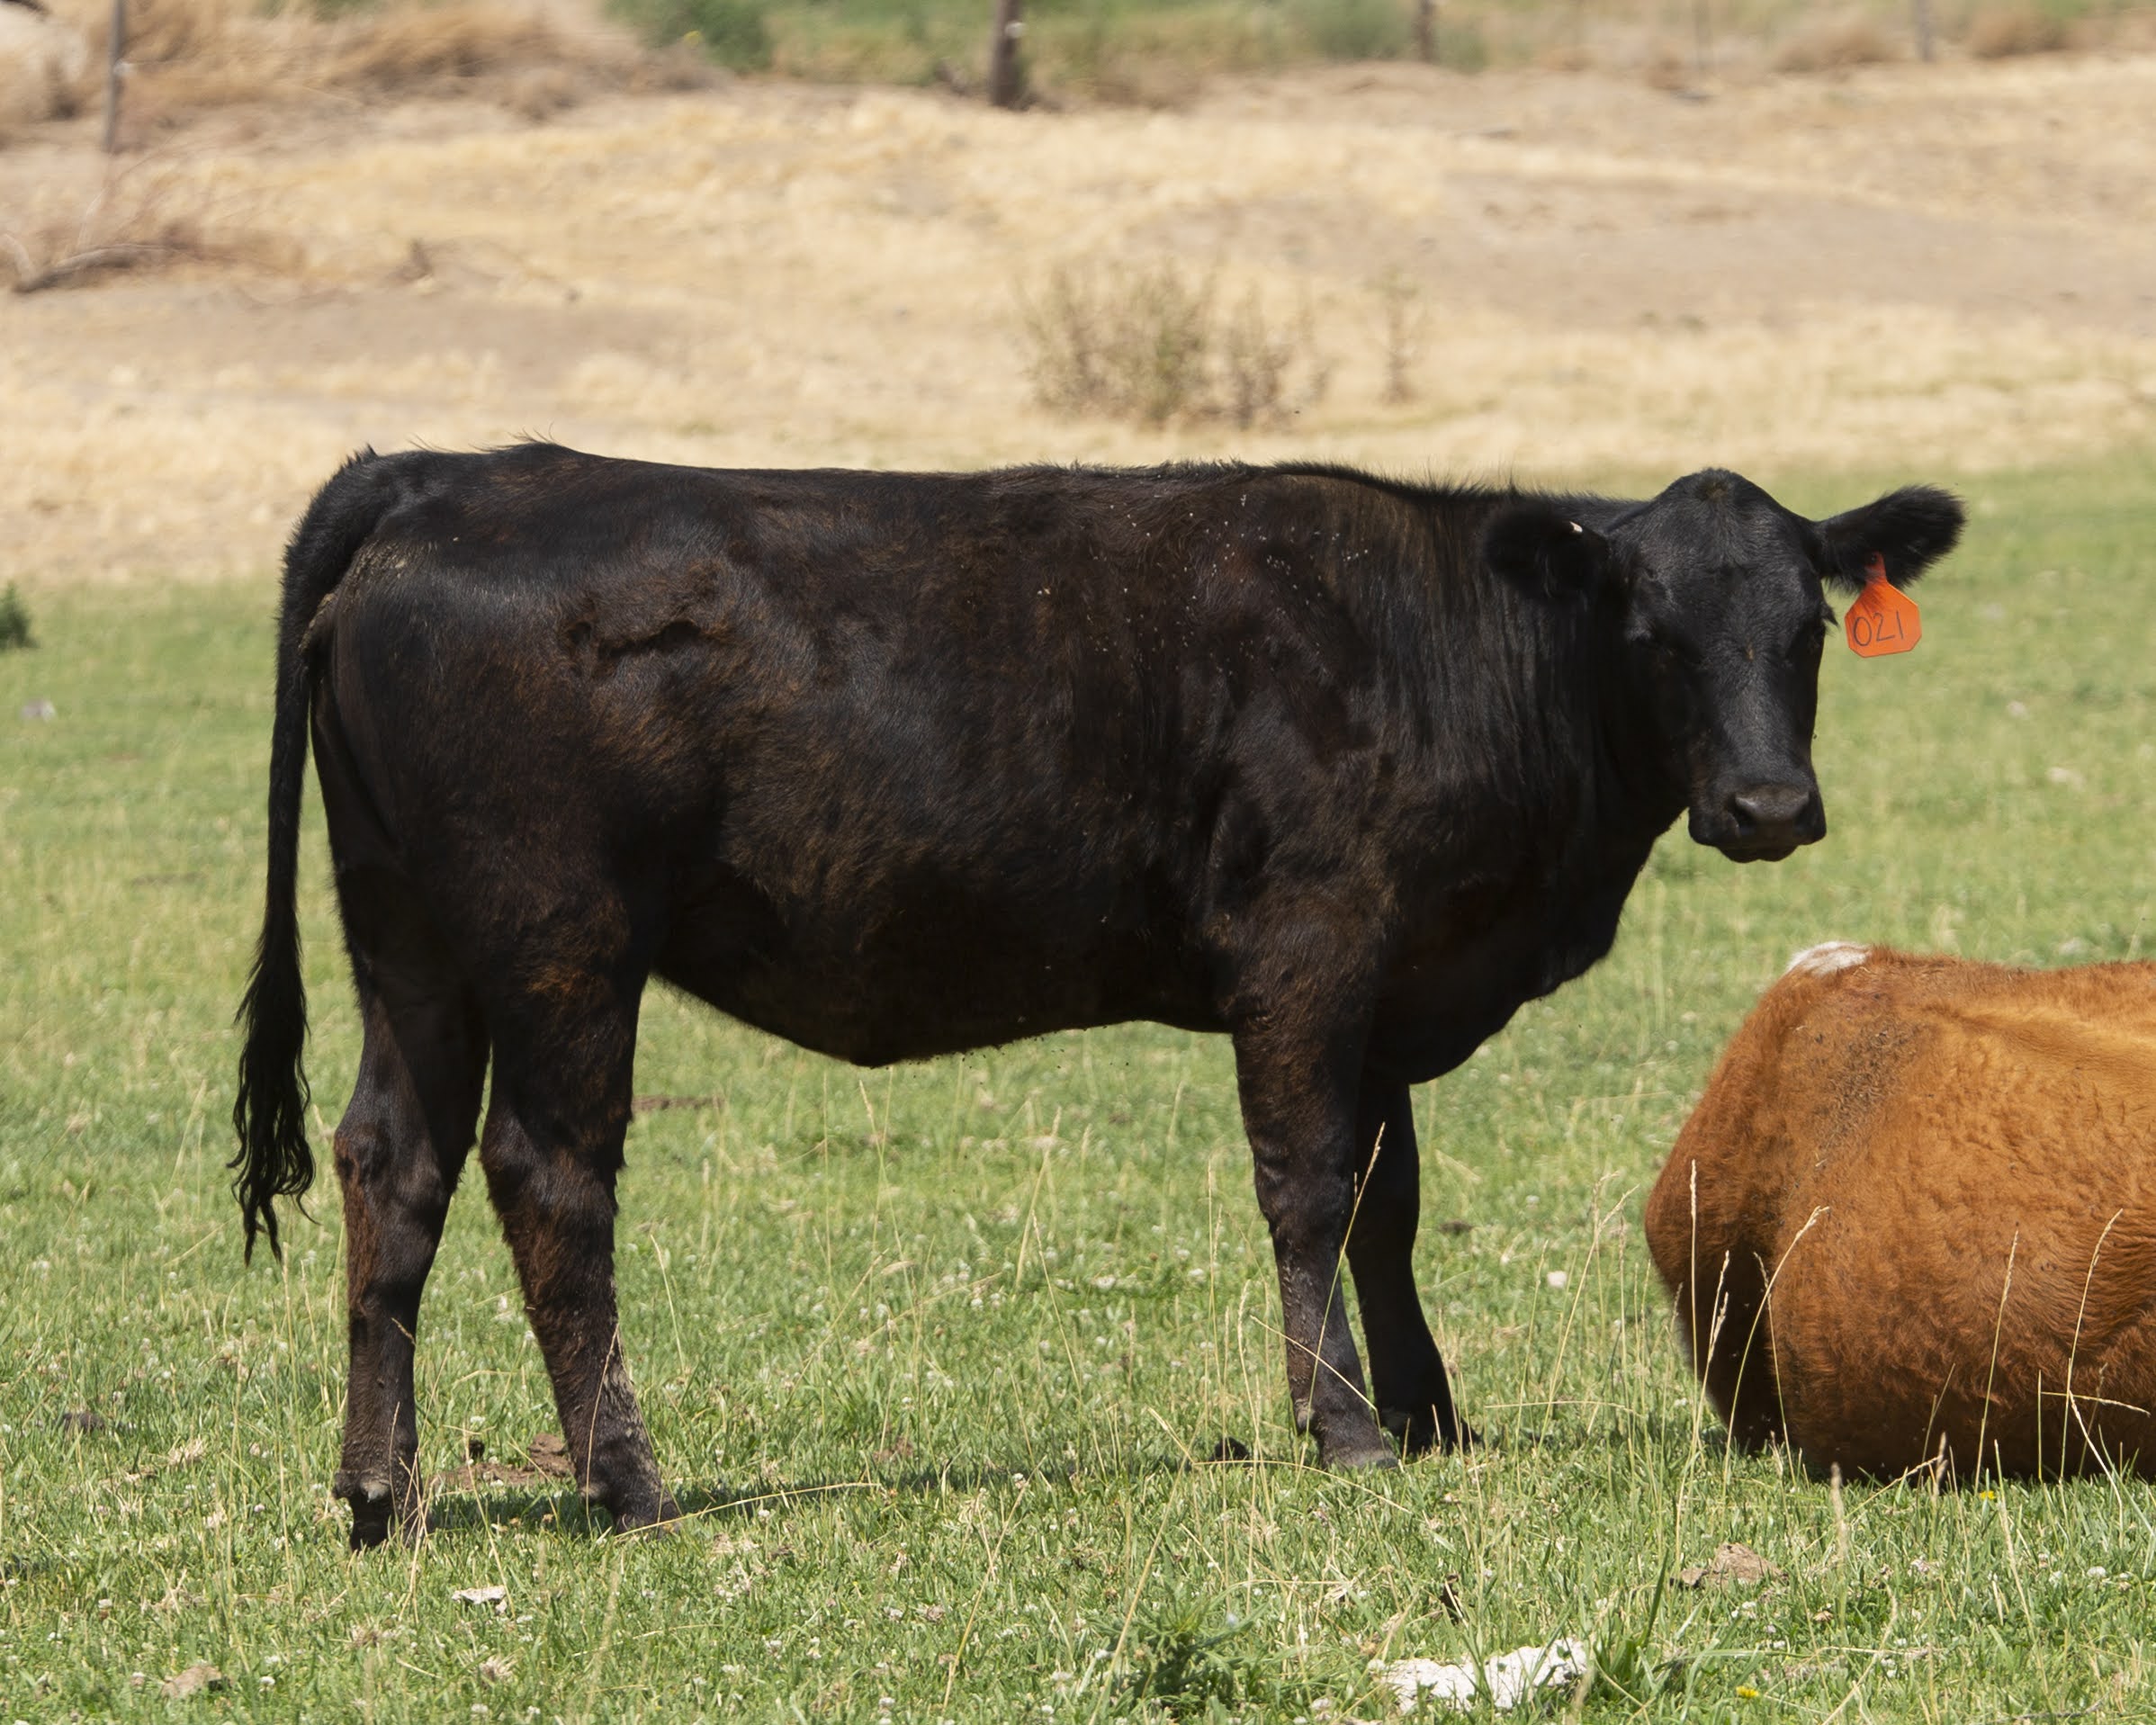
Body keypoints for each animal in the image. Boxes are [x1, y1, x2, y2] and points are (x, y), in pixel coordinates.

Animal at [231, 444, 1962, 1545]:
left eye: (1804, 627)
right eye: (1650, 629)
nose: (1767, 805)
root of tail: (446, 477)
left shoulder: (1389, 984)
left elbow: (1389, 1201)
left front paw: (1430, 1415)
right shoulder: (1310, 949)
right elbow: (1310, 1188)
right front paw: (1344, 1426)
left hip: (409, 942)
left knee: (393, 1167)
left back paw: (380, 1492)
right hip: (561, 944)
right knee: (550, 1178)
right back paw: (628, 1484)